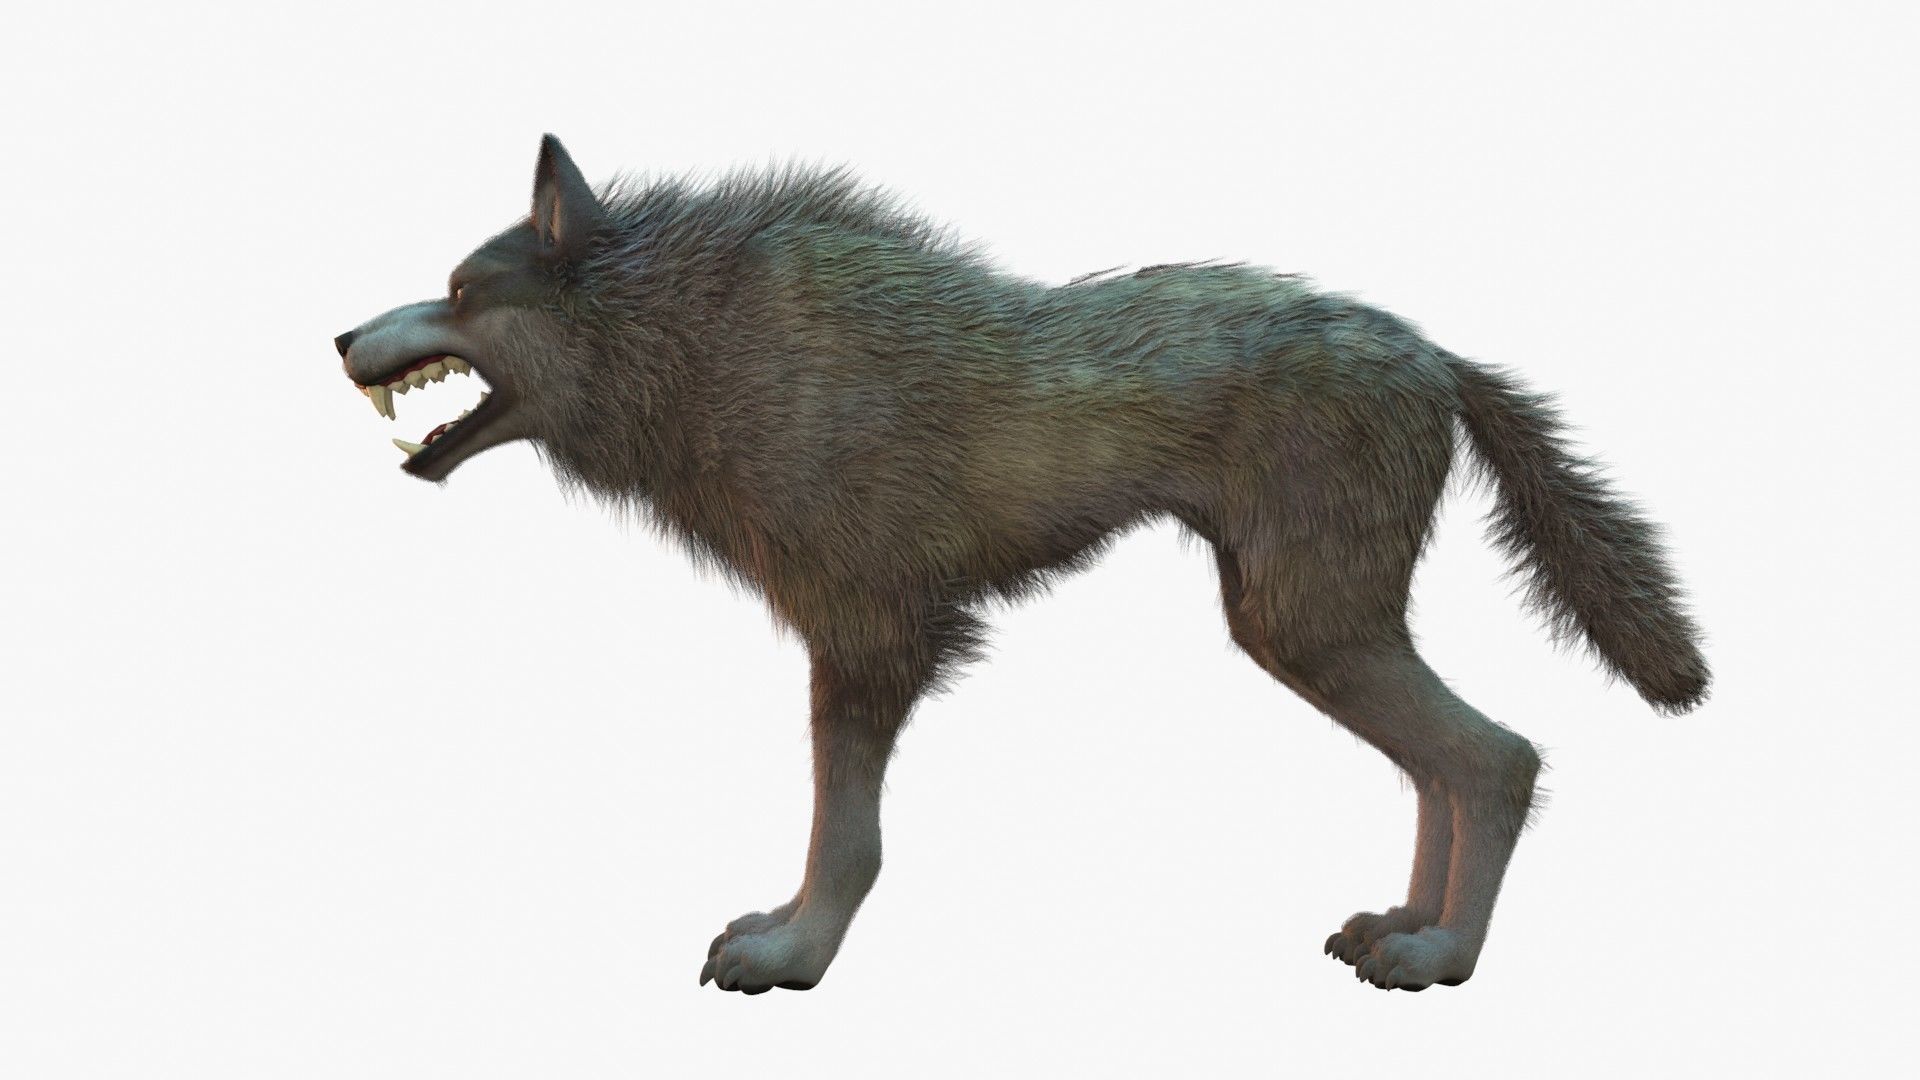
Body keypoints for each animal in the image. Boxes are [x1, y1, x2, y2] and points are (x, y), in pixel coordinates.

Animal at [333, 135, 1708, 994]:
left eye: (460, 290)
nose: (342, 335)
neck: (691, 346)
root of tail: (1439, 357)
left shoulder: (869, 639)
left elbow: (847, 836)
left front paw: (795, 957)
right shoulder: (868, 641)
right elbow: (841, 828)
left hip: (1308, 627)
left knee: (1497, 758)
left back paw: (1442, 961)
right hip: (1310, 628)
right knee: (1447, 766)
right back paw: (1408, 927)